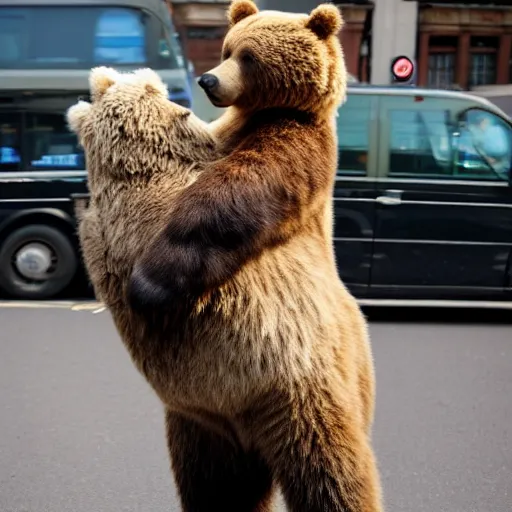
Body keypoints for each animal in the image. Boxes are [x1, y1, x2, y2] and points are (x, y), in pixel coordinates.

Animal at [72, 2, 386, 510]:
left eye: (249, 57)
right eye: (225, 50)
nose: (206, 81)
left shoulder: (288, 145)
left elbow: (231, 198)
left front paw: (147, 286)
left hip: (303, 390)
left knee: (331, 472)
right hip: (204, 424)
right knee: (215, 486)